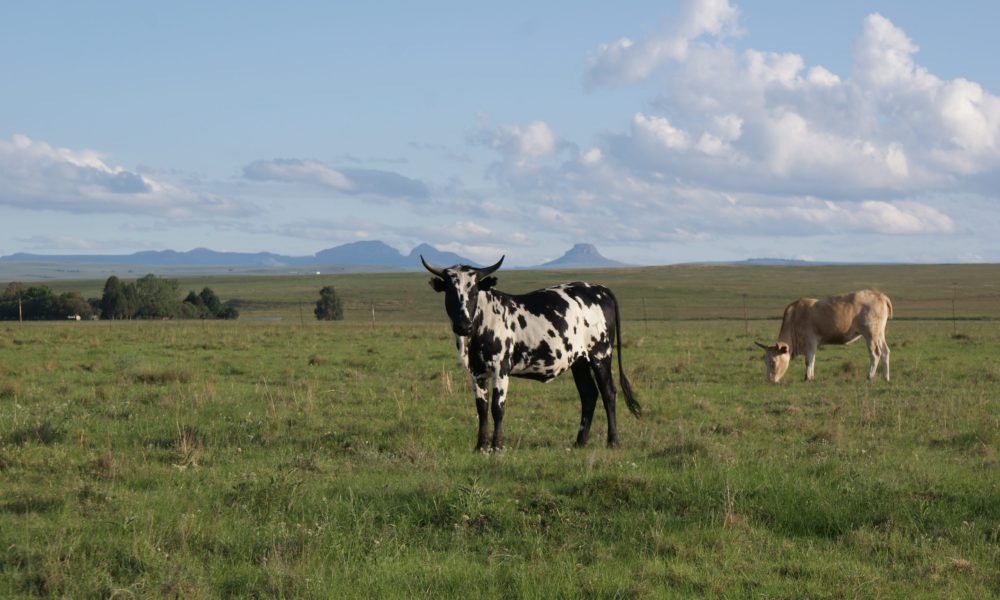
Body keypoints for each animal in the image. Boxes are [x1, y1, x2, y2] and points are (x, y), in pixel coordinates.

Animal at [422, 255, 640, 452]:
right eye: (450, 291)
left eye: (474, 290)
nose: (463, 325)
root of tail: (600, 289)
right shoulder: (477, 371)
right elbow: (482, 409)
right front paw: (480, 447)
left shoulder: (500, 368)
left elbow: (497, 408)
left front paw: (497, 446)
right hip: (580, 362)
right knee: (589, 395)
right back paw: (579, 442)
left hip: (601, 355)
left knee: (608, 393)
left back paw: (613, 441)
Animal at [752, 290, 896, 384]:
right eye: (765, 361)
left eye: (773, 362)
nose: (770, 380)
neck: (794, 318)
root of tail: (880, 295)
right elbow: (813, 359)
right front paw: (811, 376)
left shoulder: (810, 341)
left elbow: (808, 360)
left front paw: (807, 378)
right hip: (879, 334)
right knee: (885, 352)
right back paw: (886, 377)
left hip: (870, 333)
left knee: (875, 354)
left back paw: (869, 377)